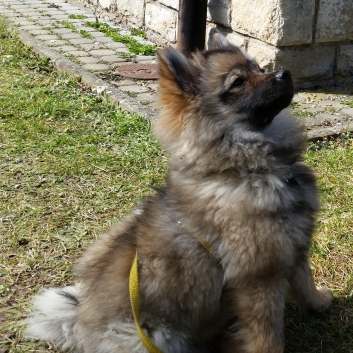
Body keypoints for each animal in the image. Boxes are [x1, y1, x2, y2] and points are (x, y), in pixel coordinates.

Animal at [26, 33, 332, 352]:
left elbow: (305, 282)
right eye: (238, 82)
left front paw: (320, 302)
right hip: (157, 336)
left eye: (258, 68)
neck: (248, 168)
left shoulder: (294, 248)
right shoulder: (260, 278)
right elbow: (269, 335)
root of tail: (79, 320)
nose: (285, 73)